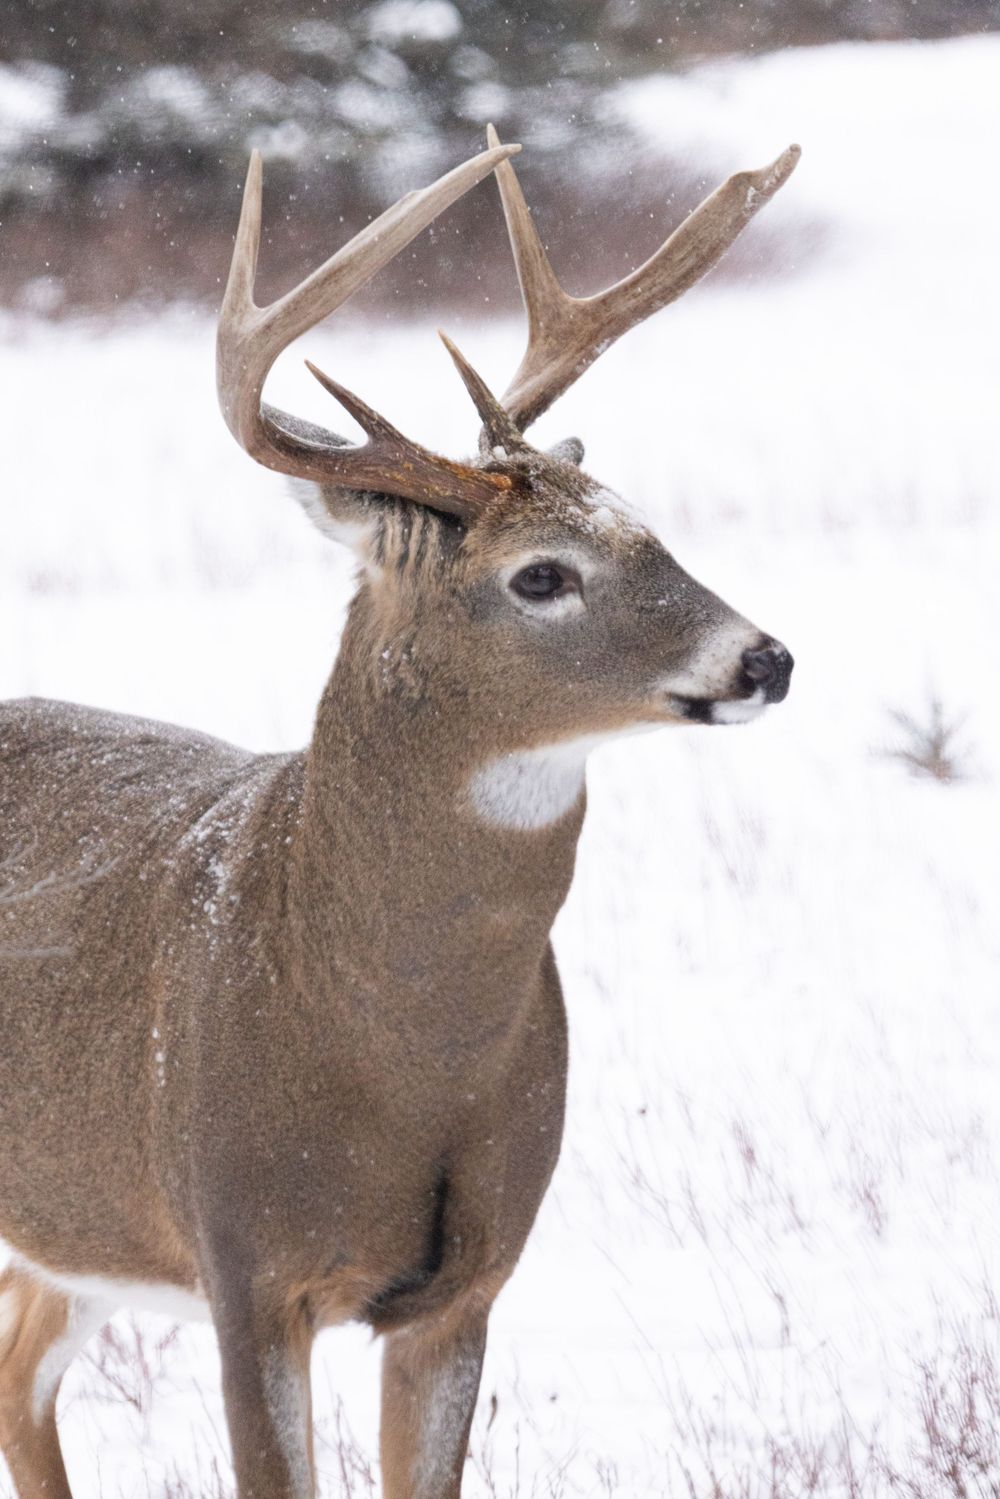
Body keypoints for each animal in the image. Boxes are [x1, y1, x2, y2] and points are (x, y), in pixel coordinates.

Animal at [0, 127, 797, 1499]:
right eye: (541, 576)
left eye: (649, 528)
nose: (766, 658)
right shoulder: (243, 1258)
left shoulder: (466, 1282)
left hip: (72, 1218)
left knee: (20, 1374)